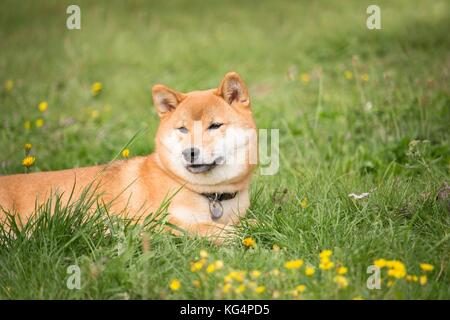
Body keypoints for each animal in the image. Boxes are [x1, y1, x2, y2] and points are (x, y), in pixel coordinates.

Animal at [0, 72, 258, 242]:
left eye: (215, 126)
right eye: (183, 129)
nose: (190, 152)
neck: (211, 195)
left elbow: (248, 221)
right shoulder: (152, 223)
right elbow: (205, 228)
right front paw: (237, 234)